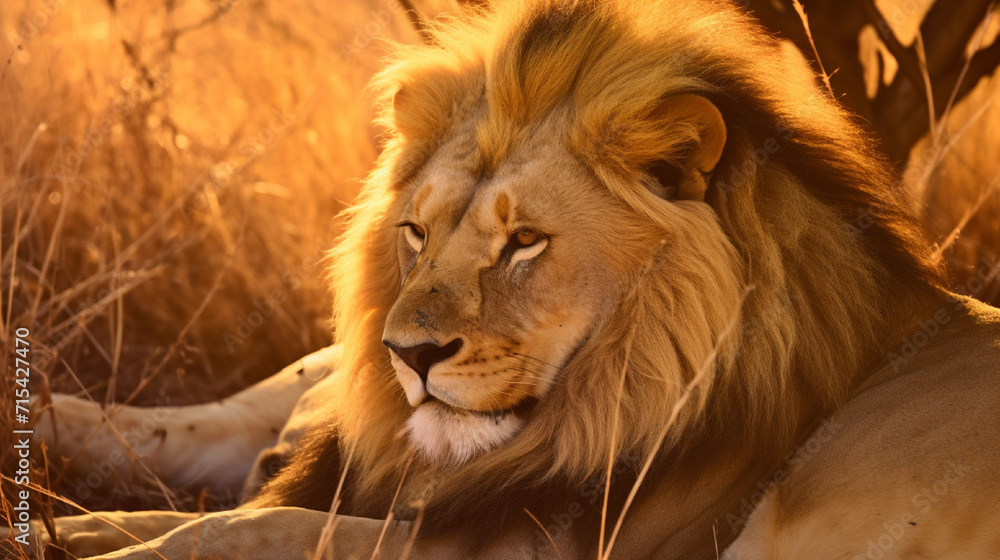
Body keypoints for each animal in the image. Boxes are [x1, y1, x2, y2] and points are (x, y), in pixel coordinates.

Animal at [11, 0, 1000, 558]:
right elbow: (206, 500)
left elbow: (251, 527)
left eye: (524, 242)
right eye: (415, 232)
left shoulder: (539, 549)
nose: (408, 354)